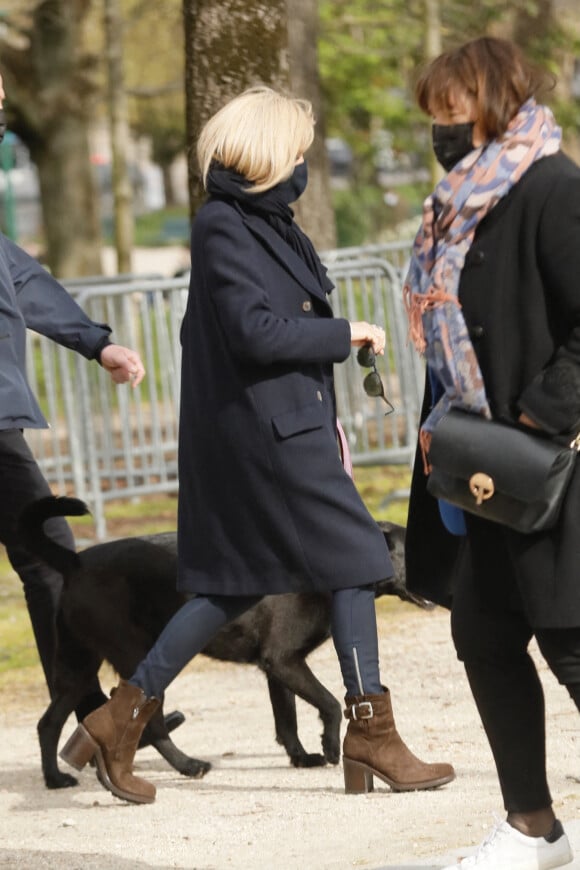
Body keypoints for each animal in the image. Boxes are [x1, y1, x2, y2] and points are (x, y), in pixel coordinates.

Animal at [18, 498, 428, 792]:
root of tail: (74, 562)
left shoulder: (278, 668)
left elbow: (287, 720)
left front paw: (302, 758)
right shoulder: (285, 661)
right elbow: (327, 702)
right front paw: (328, 747)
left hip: (79, 666)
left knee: (48, 722)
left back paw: (55, 779)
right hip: (139, 658)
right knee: (150, 723)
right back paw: (187, 766)